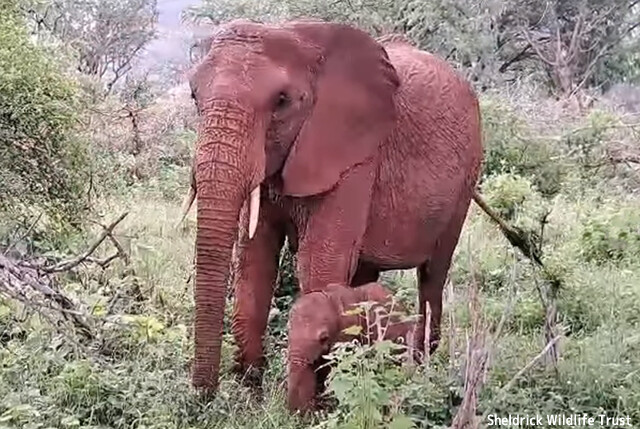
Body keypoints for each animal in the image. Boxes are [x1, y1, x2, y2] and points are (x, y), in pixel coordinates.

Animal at [181, 20, 484, 394]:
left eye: (281, 101)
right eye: (194, 96)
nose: (203, 397)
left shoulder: (355, 155)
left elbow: (320, 263)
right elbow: (254, 258)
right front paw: (251, 391)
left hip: (466, 180)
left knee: (432, 275)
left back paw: (421, 374)